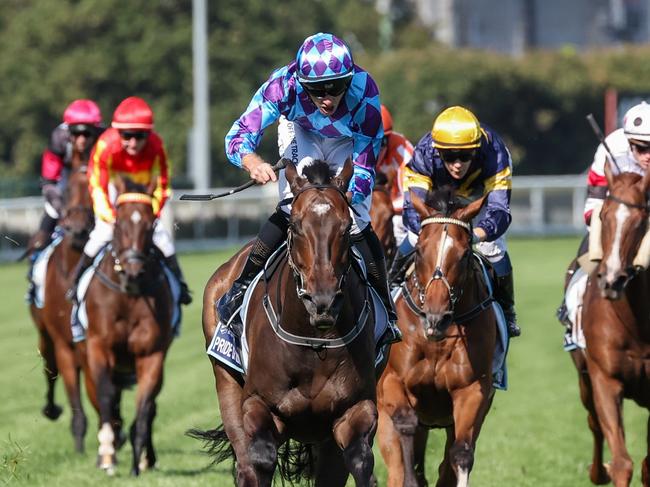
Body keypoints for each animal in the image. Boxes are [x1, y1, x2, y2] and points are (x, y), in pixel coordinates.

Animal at [79, 176, 173, 476]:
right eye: (119, 223)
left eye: (151, 224)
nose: (133, 271)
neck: (129, 295)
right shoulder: (98, 347)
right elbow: (107, 396)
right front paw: (108, 451)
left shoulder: (152, 354)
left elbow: (144, 406)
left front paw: (139, 459)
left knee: (151, 406)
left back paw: (146, 456)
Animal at [190, 161, 378, 487]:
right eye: (296, 226)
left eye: (345, 228)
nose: (322, 300)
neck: (315, 342)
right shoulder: (258, 404)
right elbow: (261, 459)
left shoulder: (357, 408)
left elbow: (361, 461)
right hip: (226, 382)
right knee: (245, 464)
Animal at [372, 188, 494, 487]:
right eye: (419, 250)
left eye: (464, 254)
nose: (436, 317)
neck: (435, 342)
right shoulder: (391, 381)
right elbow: (405, 427)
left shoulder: (472, 391)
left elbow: (461, 453)